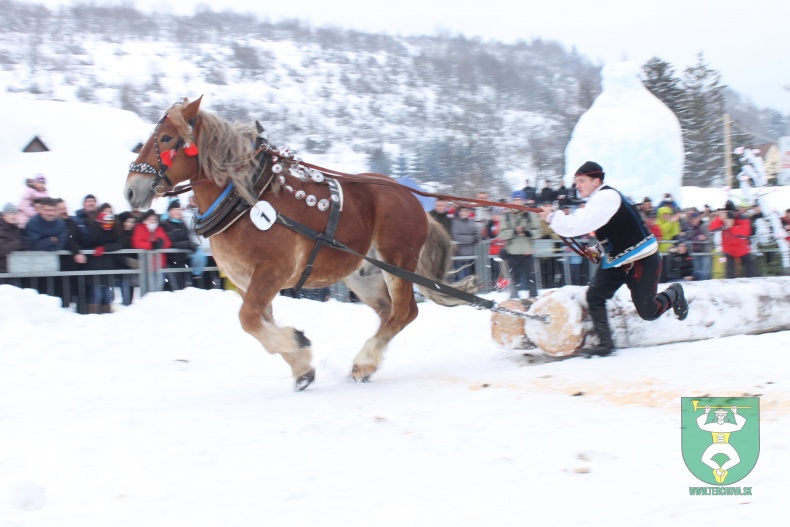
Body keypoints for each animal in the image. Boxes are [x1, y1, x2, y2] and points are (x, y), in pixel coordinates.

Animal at [125, 98, 476, 392]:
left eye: (166, 138)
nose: (130, 190)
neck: (243, 199)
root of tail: (413, 200)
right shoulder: (247, 282)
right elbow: (258, 322)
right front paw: (301, 366)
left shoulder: (272, 272)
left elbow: (248, 319)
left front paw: (297, 343)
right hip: (365, 274)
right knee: (389, 313)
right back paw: (369, 362)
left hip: (397, 261)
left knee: (405, 311)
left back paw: (364, 361)